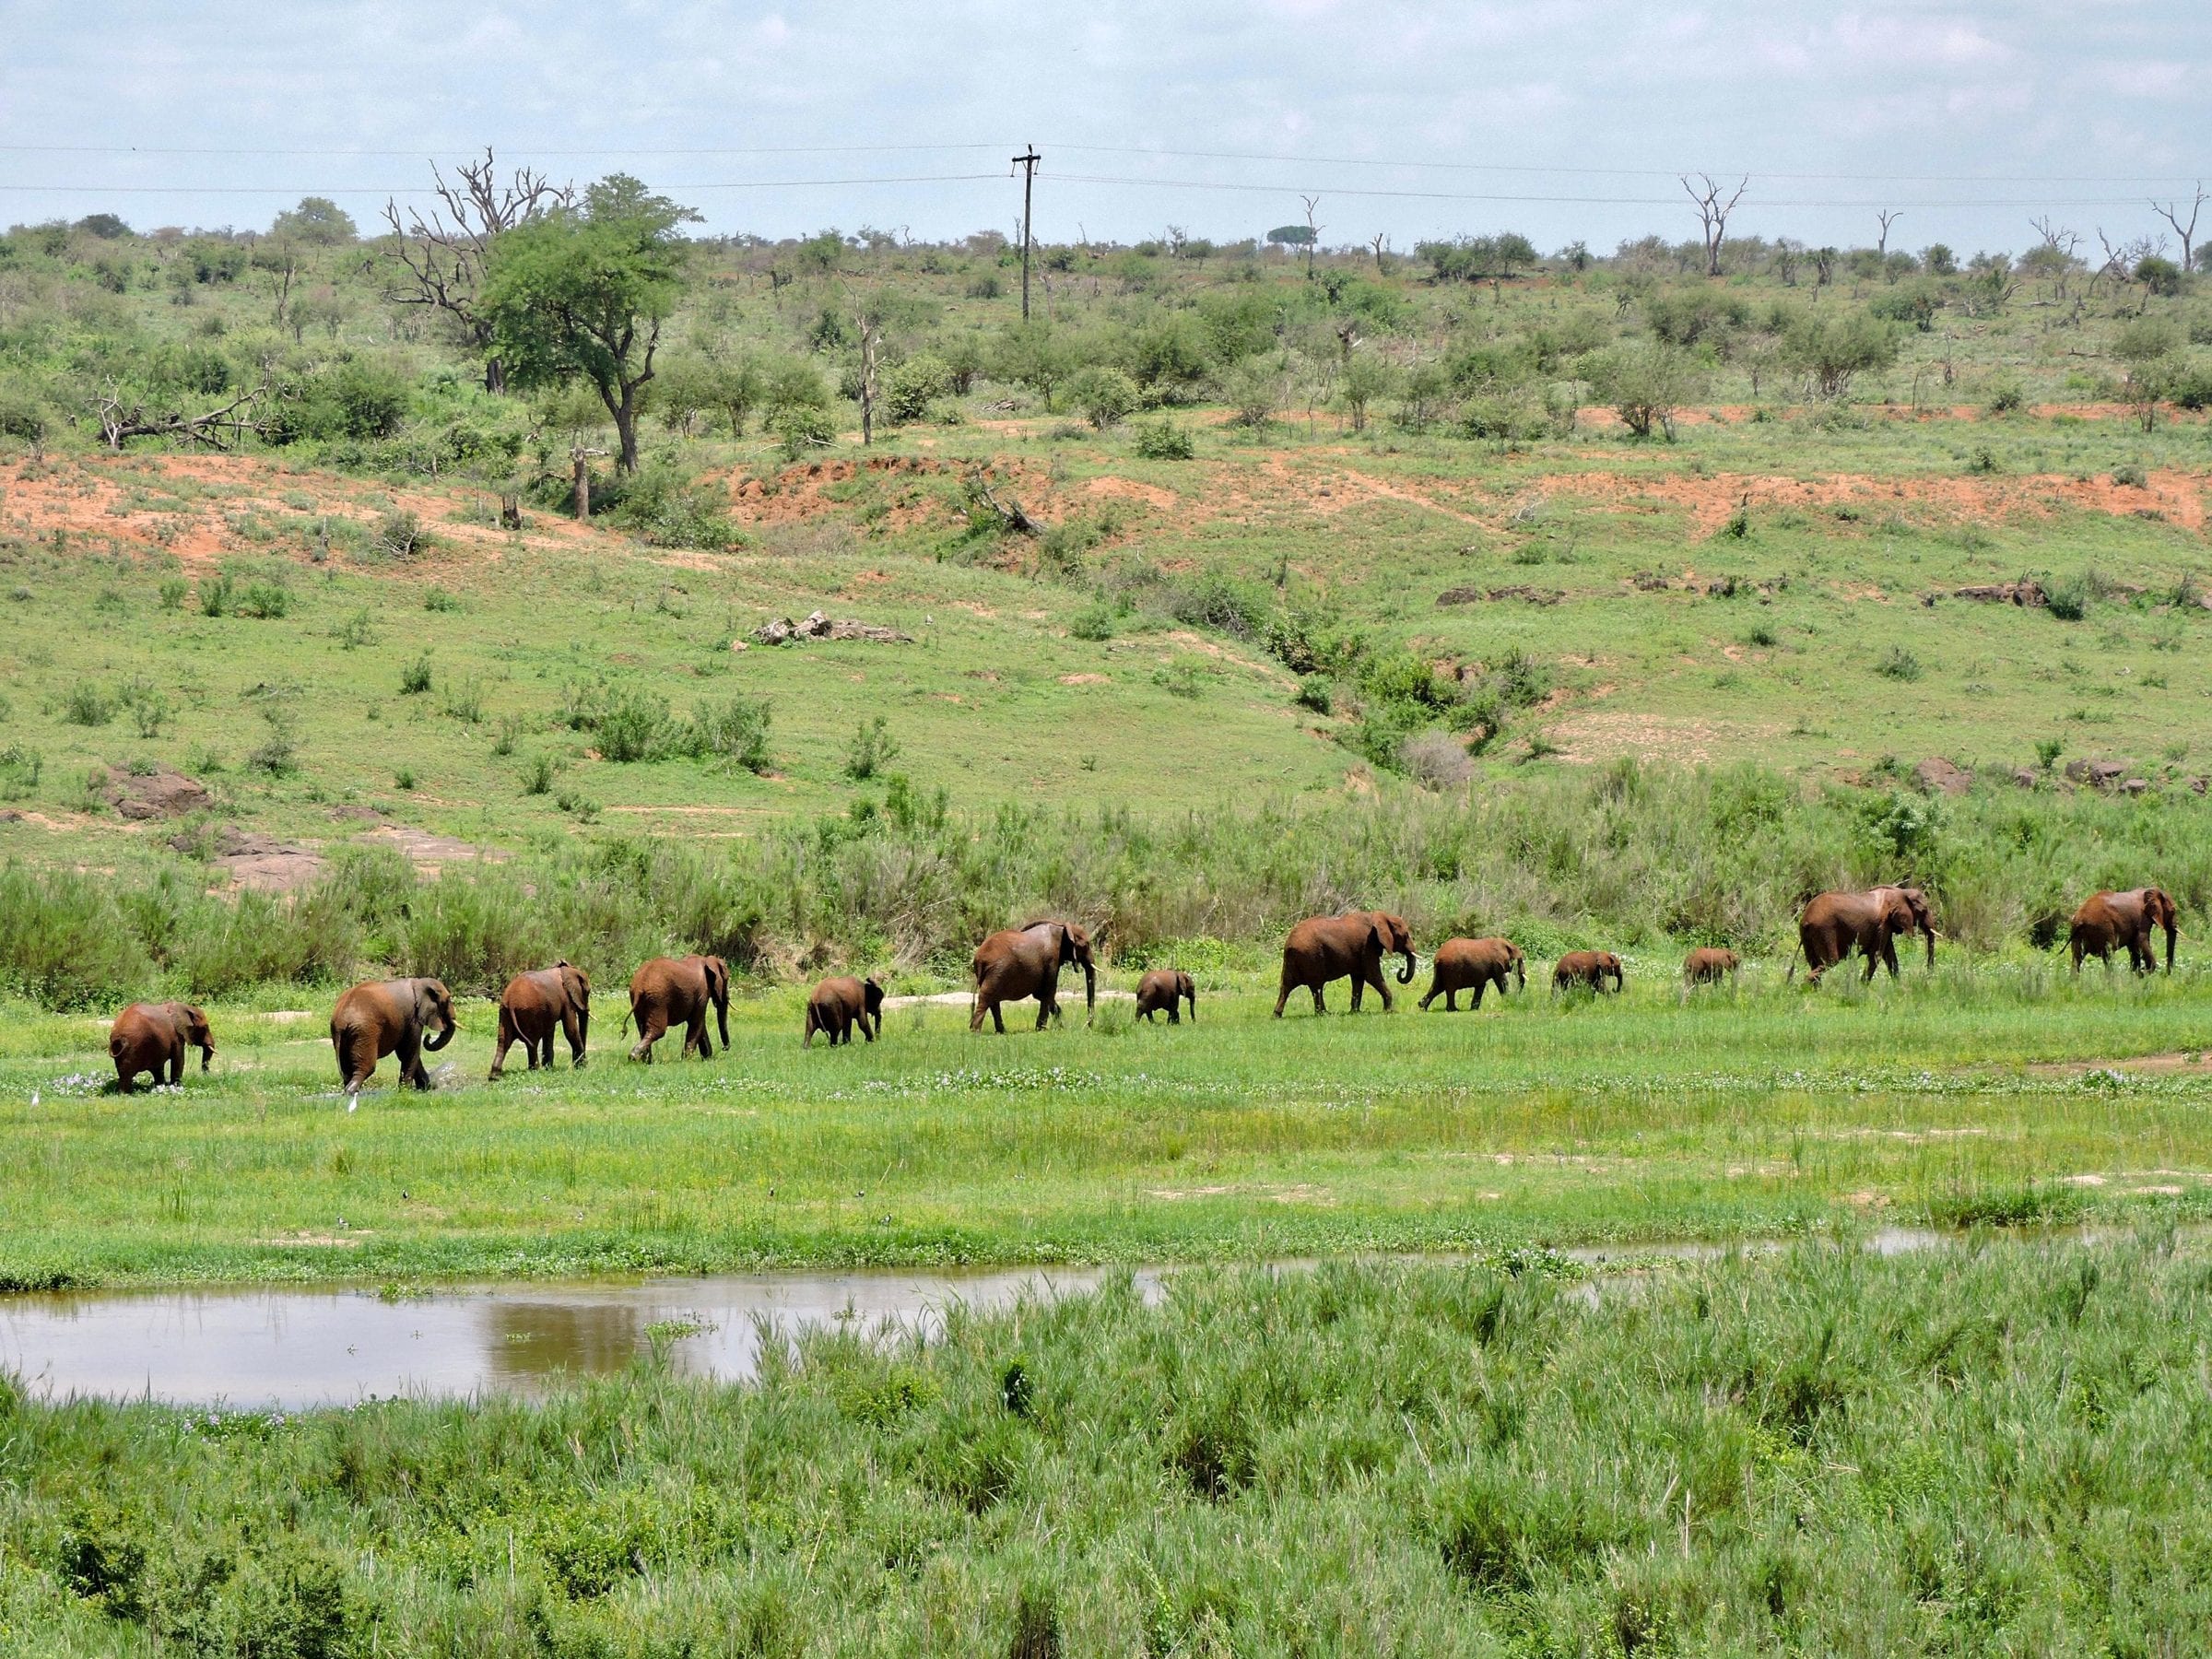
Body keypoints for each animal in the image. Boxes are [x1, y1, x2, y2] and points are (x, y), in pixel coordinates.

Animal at [331, 978, 456, 1096]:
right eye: (447, 1000)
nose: (429, 1036)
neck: (420, 982)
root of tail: (341, 1021)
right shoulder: (413, 1018)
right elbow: (410, 1051)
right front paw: (405, 1091)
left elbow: (404, 1052)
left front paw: (425, 1088)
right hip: (364, 1031)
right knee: (367, 1068)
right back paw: (351, 1092)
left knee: (347, 1070)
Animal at [488, 961, 590, 1079]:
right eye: (588, 992)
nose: (575, 1064)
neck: (568, 969)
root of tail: (511, 1000)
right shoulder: (567, 1001)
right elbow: (570, 1031)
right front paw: (582, 1068)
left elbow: (550, 1032)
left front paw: (549, 1069)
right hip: (530, 1011)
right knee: (532, 1041)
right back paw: (535, 1071)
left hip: (505, 1013)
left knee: (504, 1041)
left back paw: (494, 1077)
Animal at [971, 920, 1098, 1033]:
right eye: (1086, 945)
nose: (1088, 1027)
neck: (1063, 929)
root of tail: (980, 958)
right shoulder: (1052, 960)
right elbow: (1048, 992)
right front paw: (1042, 1030)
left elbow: (1040, 994)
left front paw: (1059, 1028)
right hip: (997, 971)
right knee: (986, 997)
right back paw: (975, 1032)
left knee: (993, 1000)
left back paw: (1001, 1031)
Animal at [1273, 911, 1417, 1016]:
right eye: (1406, 935)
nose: (1401, 969)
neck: (1382, 916)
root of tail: (1289, 943)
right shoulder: (1367, 946)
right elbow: (1372, 976)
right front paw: (1390, 1012)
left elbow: (1358, 978)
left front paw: (1355, 1012)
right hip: (1311, 956)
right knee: (1317, 986)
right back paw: (1324, 1014)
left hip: (1294, 959)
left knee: (1286, 985)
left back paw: (1277, 1015)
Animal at [1793, 886, 1935, 985]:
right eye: (1924, 911)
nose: (1928, 977)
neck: (1901, 892)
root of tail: (1806, 918)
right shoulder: (1883, 924)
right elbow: (1877, 955)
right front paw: (1862, 987)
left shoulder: (1886, 926)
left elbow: (1890, 956)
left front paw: (1898, 987)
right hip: (1825, 930)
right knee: (1830, 961)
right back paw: (1804, 985)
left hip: (1809, 934)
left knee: (1813, 962)